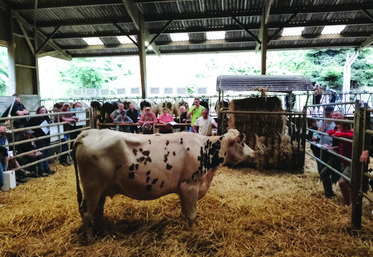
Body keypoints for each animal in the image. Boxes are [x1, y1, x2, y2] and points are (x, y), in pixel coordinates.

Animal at [72, 128, 253, 240]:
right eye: (242, 142)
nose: (254, 152)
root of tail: (89, 132)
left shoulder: (183, 189)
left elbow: (185, 212)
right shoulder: (190, 186)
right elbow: (192, 214)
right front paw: (193, 230)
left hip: (101, 189)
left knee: (98, 210)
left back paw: (102, 231)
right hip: (92, 187)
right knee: (86, 212)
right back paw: (90, 238)